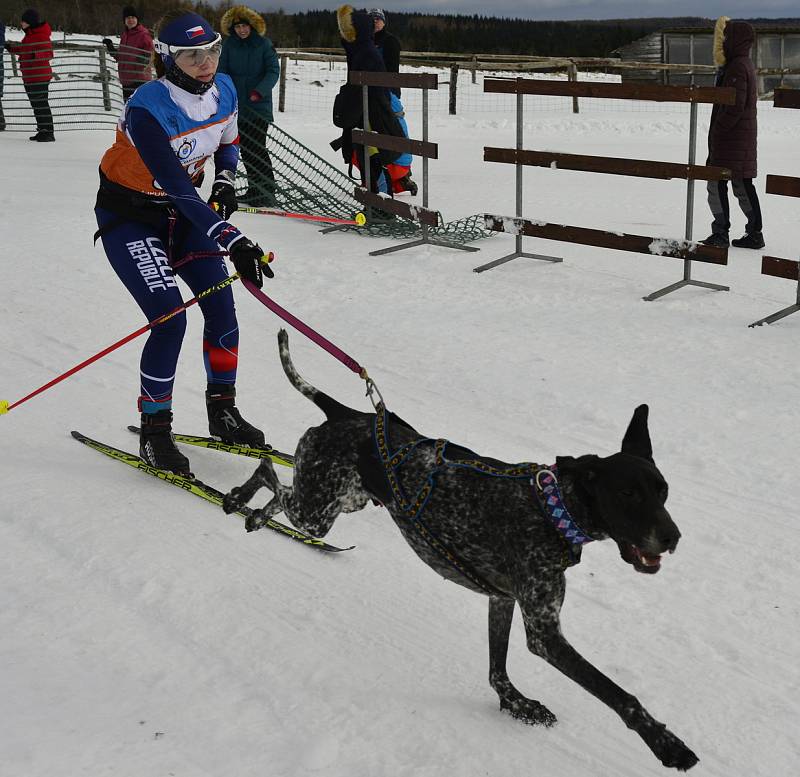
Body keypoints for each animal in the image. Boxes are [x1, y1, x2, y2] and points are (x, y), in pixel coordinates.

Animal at [222, 328, 696, 768]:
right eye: (628, 494)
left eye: (663, 491)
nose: (672, 537)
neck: (551, 507)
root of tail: (350, 413)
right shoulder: (545, 633)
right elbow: (620, 696)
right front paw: (665, 742)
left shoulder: (502, 600)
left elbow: (497, 669)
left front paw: (516, 704)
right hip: (317, 510)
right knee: (268, 471)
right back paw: (243, 500)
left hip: (340, 502)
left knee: (280, 486)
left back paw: (254, 512)